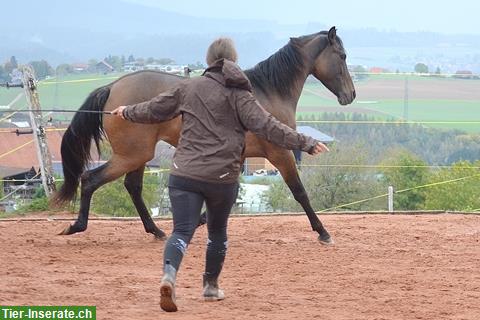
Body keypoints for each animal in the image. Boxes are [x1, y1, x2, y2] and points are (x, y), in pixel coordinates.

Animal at [54, 26, 356, 245]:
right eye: (342, 56)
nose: (351, 95)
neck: (267, 92)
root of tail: (113, 88)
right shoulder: (280, 153)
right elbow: (300, 192)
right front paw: (323, 232)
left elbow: (231, 195)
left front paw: (198, 222)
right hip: (132, 154)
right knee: (90, 179)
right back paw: (76, 226)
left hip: (139, 155)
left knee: (132, 187)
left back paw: (156, 231)